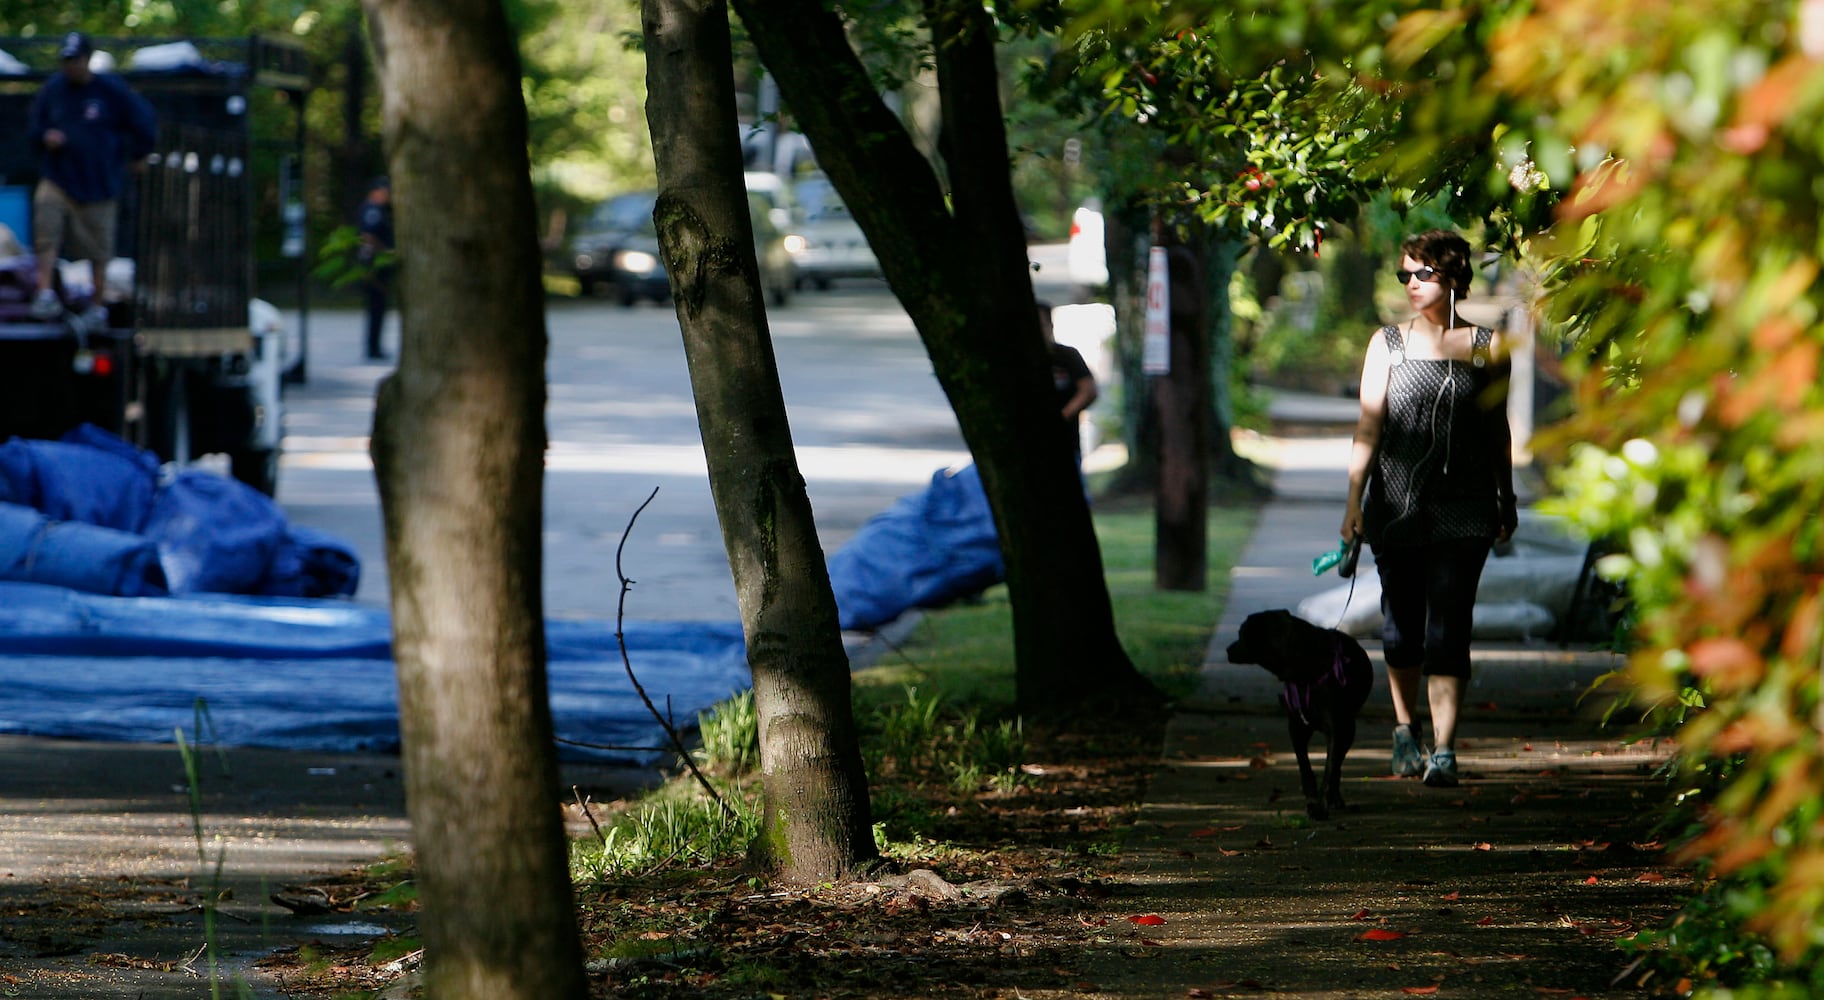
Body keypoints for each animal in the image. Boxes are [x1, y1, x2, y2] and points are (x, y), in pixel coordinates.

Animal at [1225, 609, 1371, 821]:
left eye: (1242, 633)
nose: (1228, 650)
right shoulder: (1296, 727)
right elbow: (1305, 767)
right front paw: (1311, 799)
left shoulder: (1336, 728)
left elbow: (1330, 768)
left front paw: (1321, 806)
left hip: (1348, 729)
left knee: (1337, 764)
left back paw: (1335, 797)